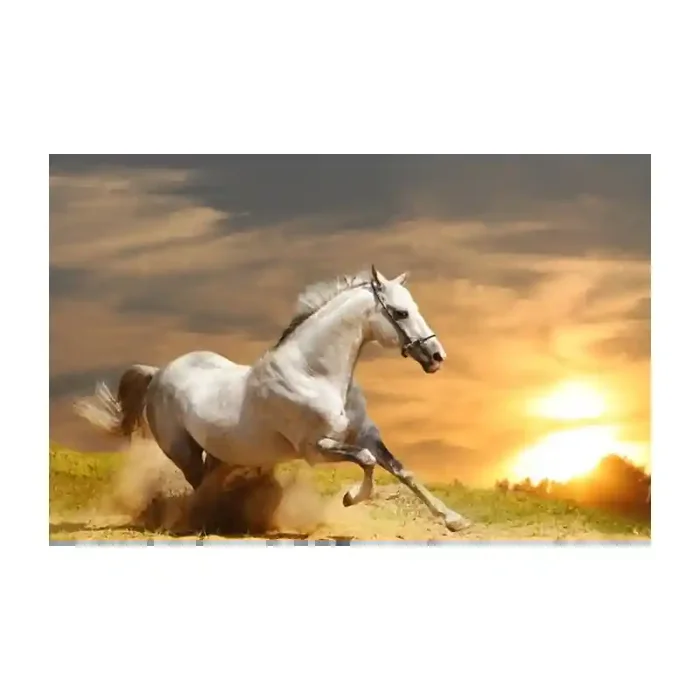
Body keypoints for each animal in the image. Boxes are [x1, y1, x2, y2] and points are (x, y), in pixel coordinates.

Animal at [75, 265, 470, 532]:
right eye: (401, 312)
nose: (437, 356)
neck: (315, 374)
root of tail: (159, 372)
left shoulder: (365, 434)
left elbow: (403, 470)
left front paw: (454, 519)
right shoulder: (316, 449)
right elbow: (368, 461)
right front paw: (350, 498)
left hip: (223, 454)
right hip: (183, 451)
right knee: (200, 485)